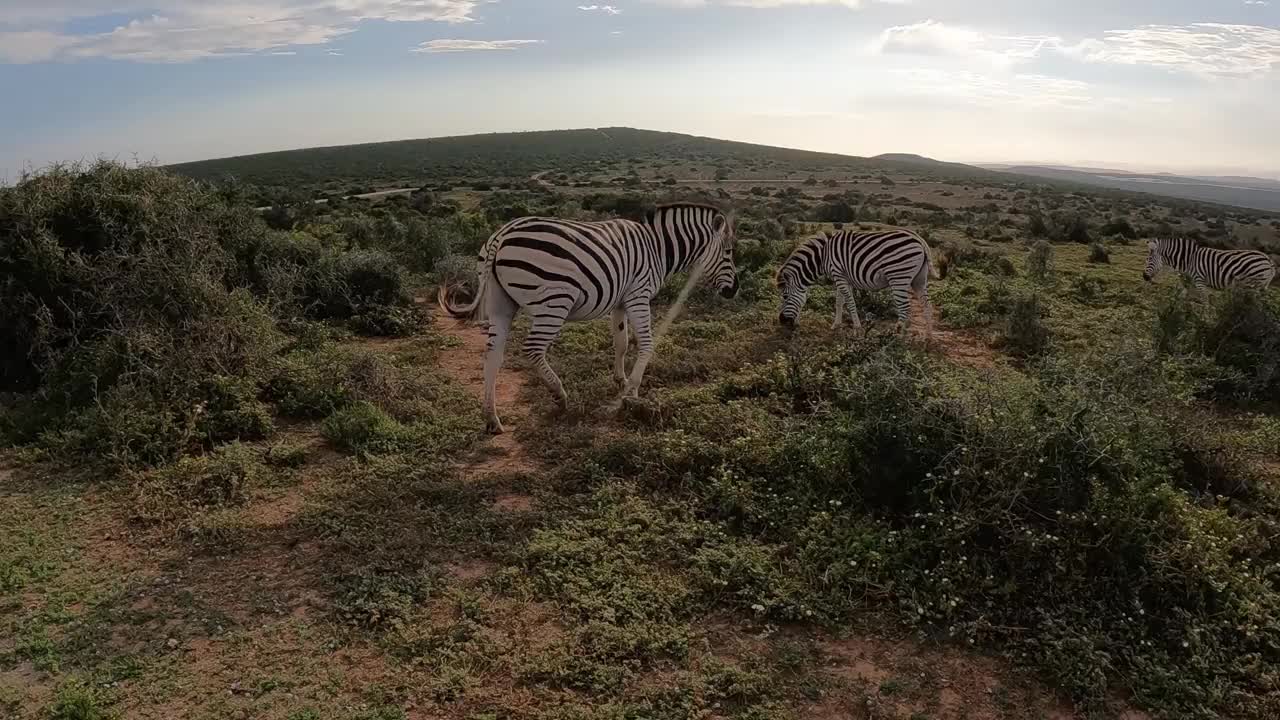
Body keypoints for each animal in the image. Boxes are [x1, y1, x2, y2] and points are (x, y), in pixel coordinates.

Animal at [440, 202, 742, 430]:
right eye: (728, 252)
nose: (734, 291)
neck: (658, 247)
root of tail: (502, 234)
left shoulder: (620, 300)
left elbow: (621, 342)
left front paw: (620, 380)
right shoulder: (639, 294)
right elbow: (646, 343)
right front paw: (633, 391)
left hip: (500, 303)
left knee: (493, 356)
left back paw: (491, 418)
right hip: (554, 300)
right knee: (533, 349)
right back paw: (559, 395)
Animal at [773, 228, 936, 335]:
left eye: (785, 296)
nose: (781, 321)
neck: (822, 256)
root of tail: (919, 240)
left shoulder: (839, 275)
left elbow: (850, 302)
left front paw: (857, 327)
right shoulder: (841, 277)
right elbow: (839, 301)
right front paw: (836, 325)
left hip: (899, 277)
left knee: (905, 307)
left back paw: (897, 334)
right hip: (919, 279)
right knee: (926, 304)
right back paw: (928, 336)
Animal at [1146, 238, 1274, 288]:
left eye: (1149, 260)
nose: (1144, 277)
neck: (1189, 260)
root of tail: (1268, 260)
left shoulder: (1200, 281)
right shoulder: (1190, 282)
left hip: (1252, 285)